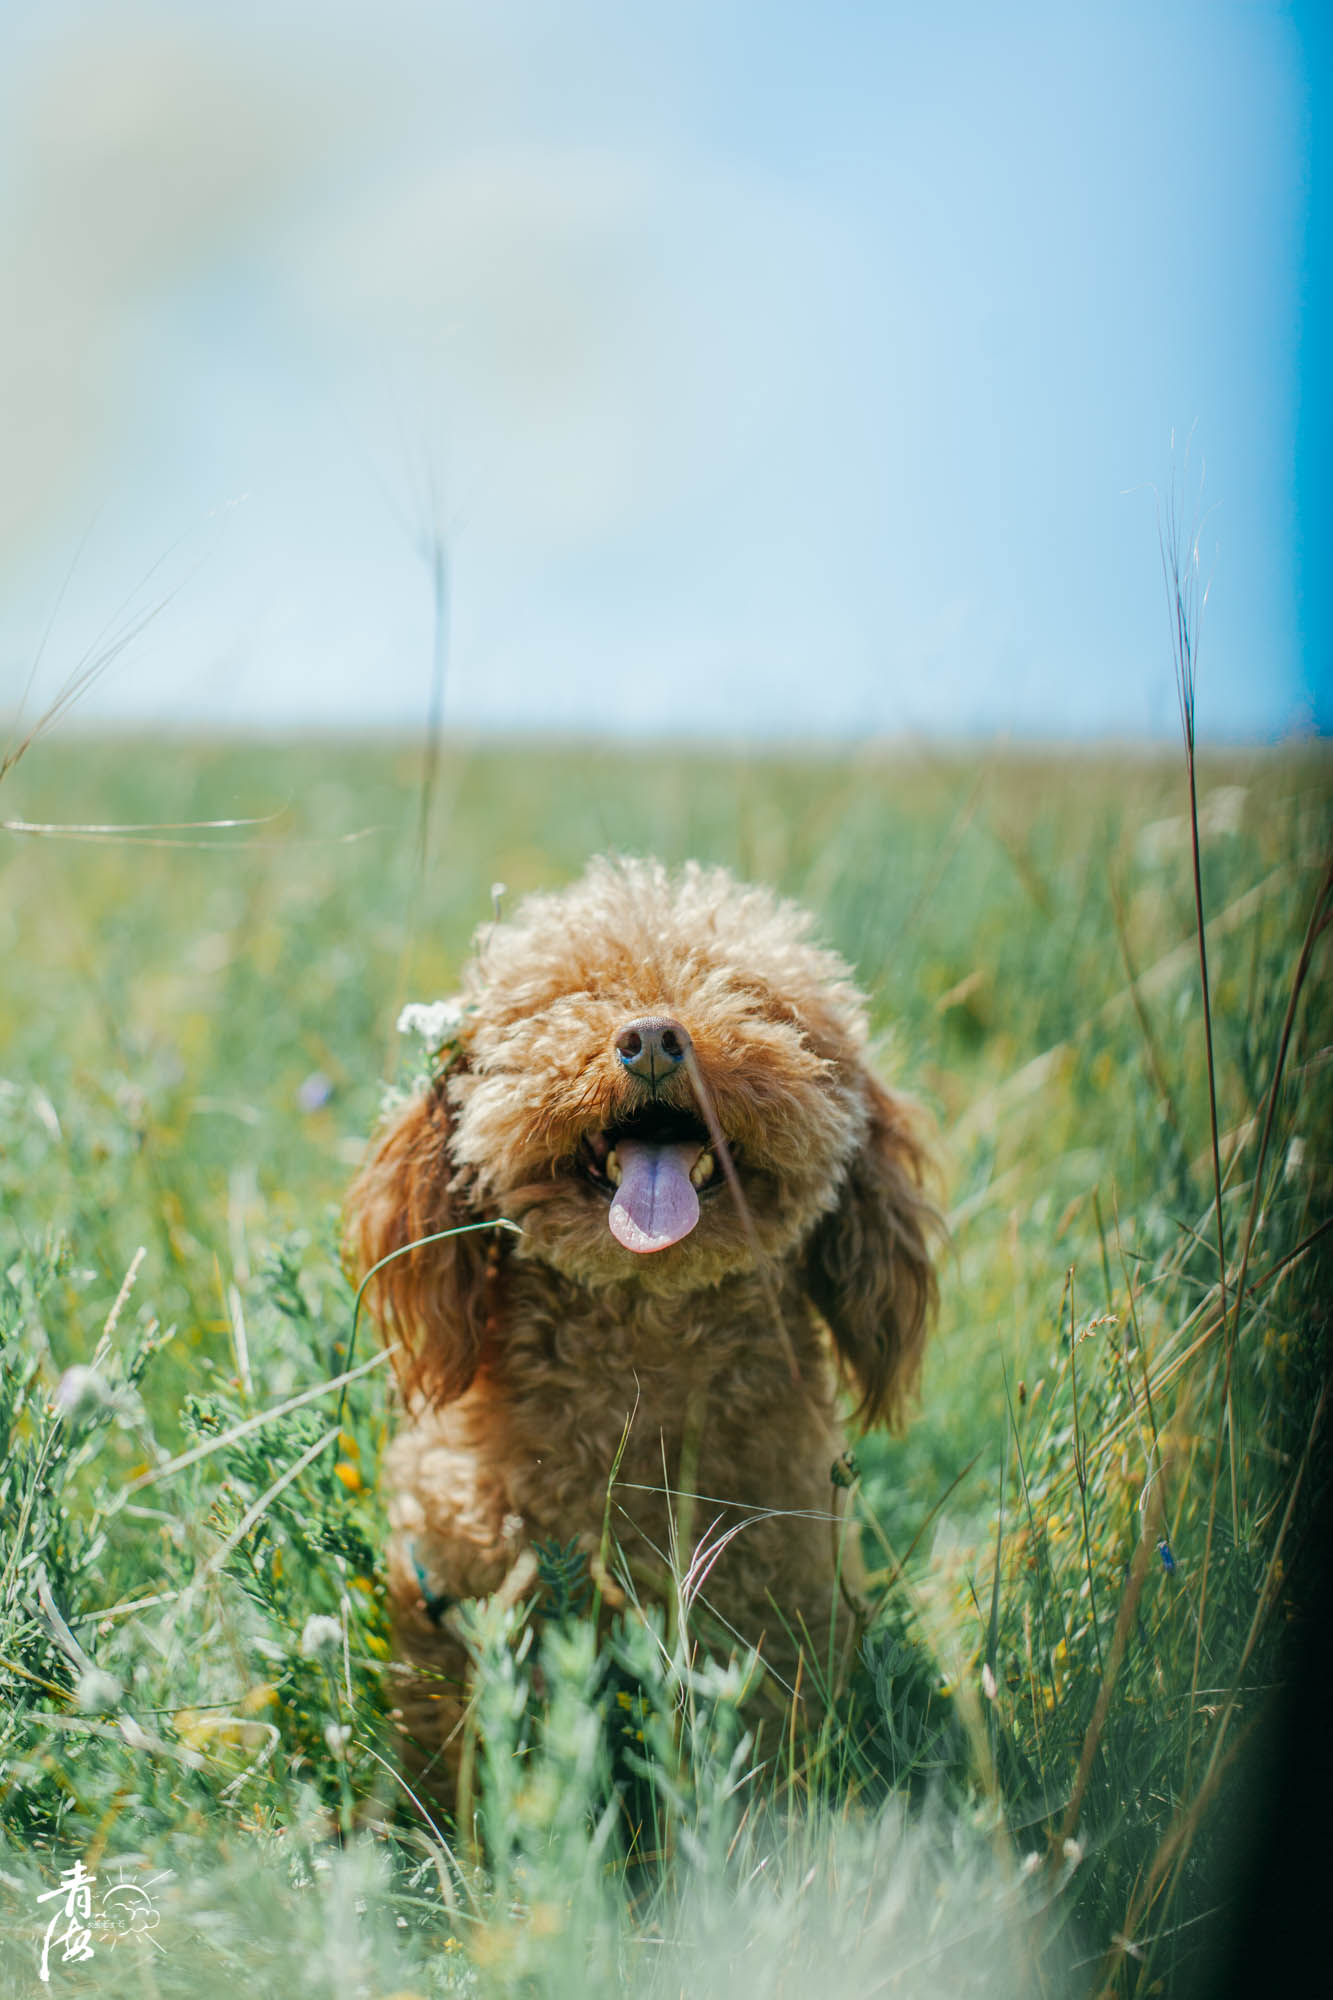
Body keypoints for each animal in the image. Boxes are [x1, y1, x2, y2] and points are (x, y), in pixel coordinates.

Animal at [344, 852, 932, 1808]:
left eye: (752, 999)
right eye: (568, 997)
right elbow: (451, 1780)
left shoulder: (771, 1632)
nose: (654, 1036)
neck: (642, 1359)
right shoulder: (452, 1619)